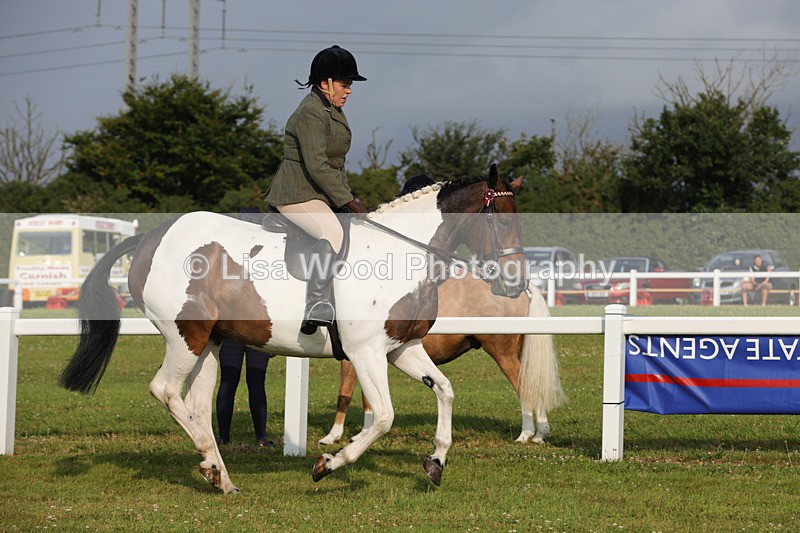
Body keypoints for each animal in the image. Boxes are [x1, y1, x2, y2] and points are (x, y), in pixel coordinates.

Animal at [58, 165, 526, 493]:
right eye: (502, 221)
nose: (517, 284)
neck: (401, 255)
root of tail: (151, 238)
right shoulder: (365, 351)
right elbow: (383, 417)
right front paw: (329, 463)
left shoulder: (400, 347)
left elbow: (444, 390)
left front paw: (436, 461)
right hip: (184, 335)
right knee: (166, 391)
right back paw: (210, 461)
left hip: (209, 341)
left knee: (196, 405)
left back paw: (219, 475)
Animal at [319, 276, 567, 446]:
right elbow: (367, 398)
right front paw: (363, 433)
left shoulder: (356, 356)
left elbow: (345, 395)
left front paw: (332, 436)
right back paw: (539, 433)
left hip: (503, 354)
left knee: (524, 387)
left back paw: (526, 434)